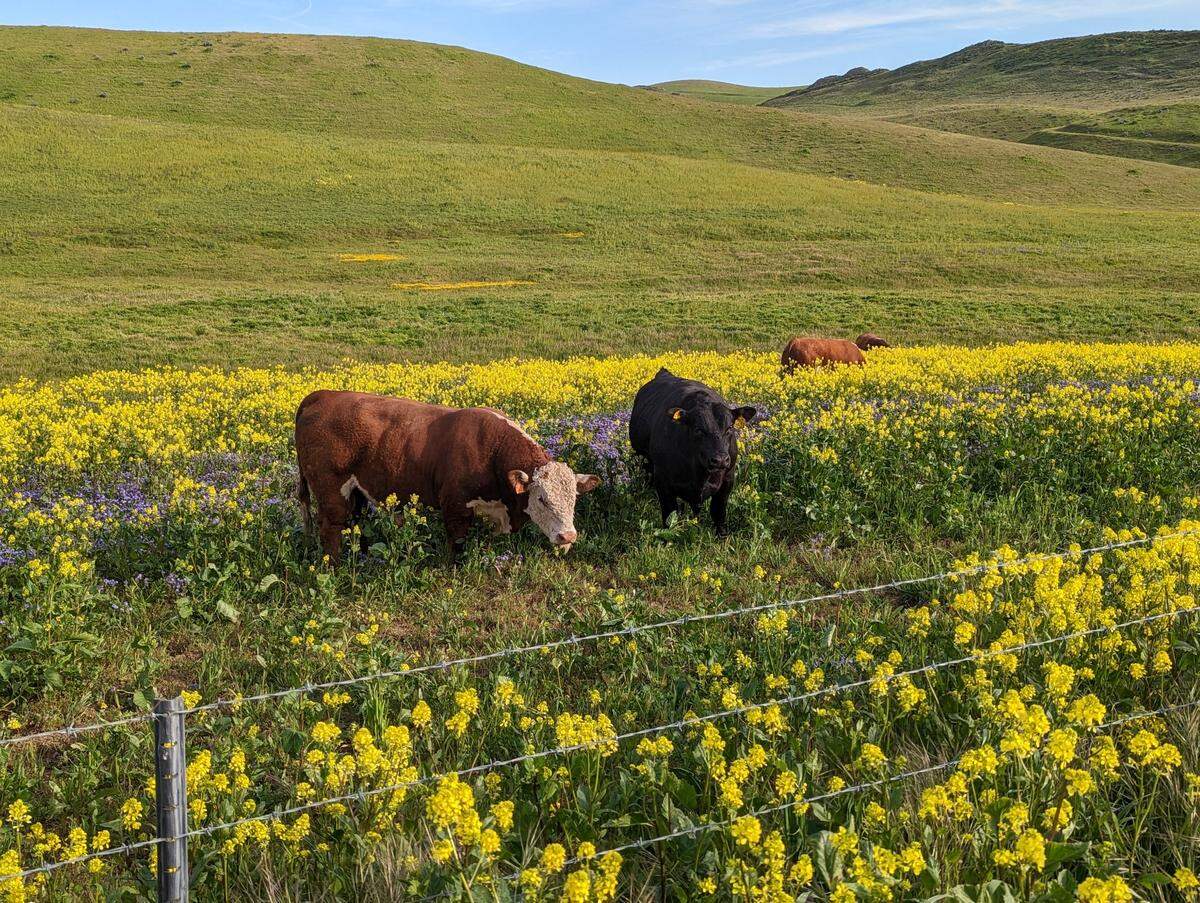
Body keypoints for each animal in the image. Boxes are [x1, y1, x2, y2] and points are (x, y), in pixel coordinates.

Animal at [294, 390, 600, 563]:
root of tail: (321, 394)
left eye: (573, 499)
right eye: (541, 499)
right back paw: (333, 566)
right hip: (331, 489)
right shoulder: (455, 506)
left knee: (356, 521)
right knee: (331, 526)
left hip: (355, 491)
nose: (567, 535)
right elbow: (457, 544)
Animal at [629, 369, 757, 535]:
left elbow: (718, 512)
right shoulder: (662, 481)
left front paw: (722, 535)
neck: (699, 472)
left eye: (729, 428)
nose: (720, 460)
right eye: (698, 430)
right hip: (645, 462)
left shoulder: (728, 478)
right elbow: (669, 516)